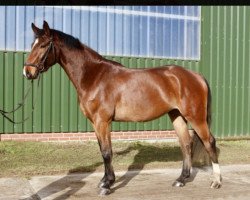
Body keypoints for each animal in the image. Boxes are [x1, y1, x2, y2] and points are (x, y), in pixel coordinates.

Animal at [23, 21, 222, 195]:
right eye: (32, 44)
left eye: (44, 45)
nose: (27, 72)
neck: (94, 76)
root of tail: (196, 76)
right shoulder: (96, 123)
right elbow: (103, 150)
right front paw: (105, 181)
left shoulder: (102, 121)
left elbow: (106, 152)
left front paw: (107, 185)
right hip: (177, 115)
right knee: (186, 144)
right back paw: (181, 179)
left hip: (195, 117)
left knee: (209, 142)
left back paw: (216, 181)